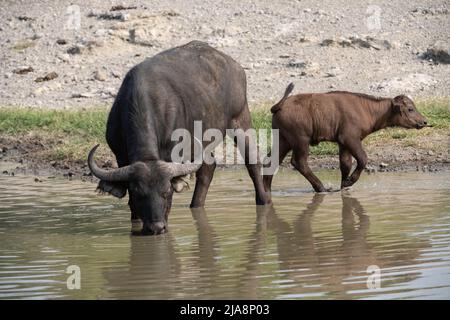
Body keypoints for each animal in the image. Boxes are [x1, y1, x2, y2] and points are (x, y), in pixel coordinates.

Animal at [88, 40, 270, 235]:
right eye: (138, 193)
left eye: (167, 191)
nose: (156, 227)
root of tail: (233, 65)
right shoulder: (121, 157)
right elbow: (131, 206)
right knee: (207, 169)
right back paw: (195, 205)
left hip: (241, 118)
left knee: (252, 161)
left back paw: (263, 200)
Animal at [264, 84, 428, 192]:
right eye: (410, 109)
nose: (425, 121)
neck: (367, 109)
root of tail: (279, 106)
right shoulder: (350, 139)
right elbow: (362, 159)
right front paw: (349, 182)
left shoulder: (343, 144)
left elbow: (345, 164)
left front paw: (344, 185)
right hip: (301, 141)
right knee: (299, 162)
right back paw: (321, 188)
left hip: (283, 141)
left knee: (270, 162)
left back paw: (266, 190)